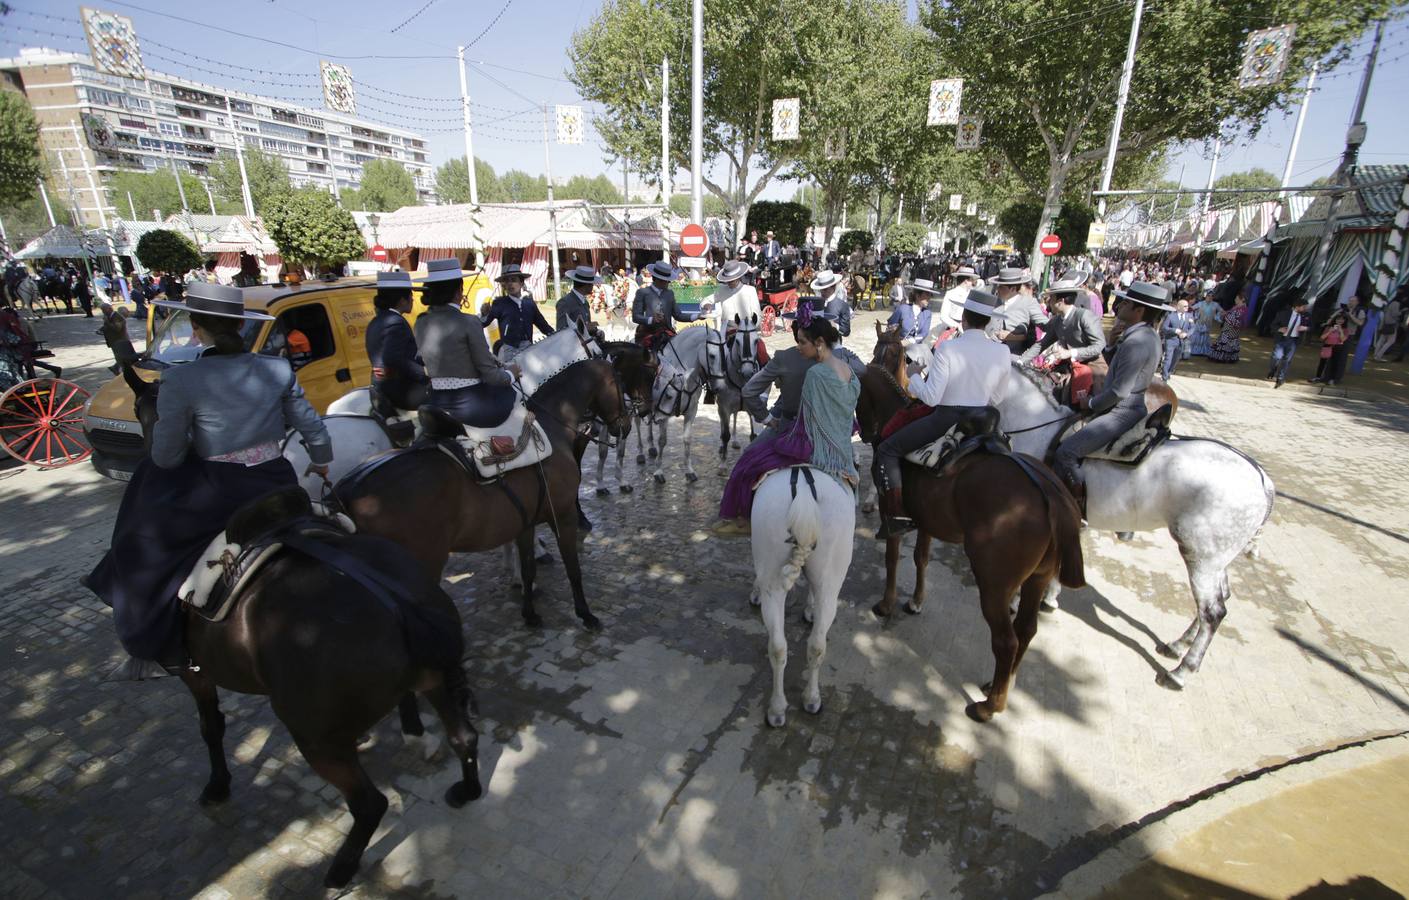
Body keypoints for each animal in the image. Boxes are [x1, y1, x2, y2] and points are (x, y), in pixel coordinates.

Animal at [122, 363, 484, 890]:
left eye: (144, 413)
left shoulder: (193, 670)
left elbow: (211, 725)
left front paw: (217, 785)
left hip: (314, 734)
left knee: (369, 802)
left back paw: (342, 866)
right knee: (453, 732)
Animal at [332, 354, 631, 630]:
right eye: (619, 382)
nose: (626, 426)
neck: (550, 426)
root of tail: (349, 490)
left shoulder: (526, 522)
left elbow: (528, 568)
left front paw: (530, 612)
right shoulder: (564, 515)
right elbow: (573, 568)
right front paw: (585, 614)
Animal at [755, 467, 851, 726]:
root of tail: (805, 492)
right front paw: (810, 609)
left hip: (774, 575)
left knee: (781, 647)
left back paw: (780, 708)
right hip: (830, 580)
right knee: (813, 644)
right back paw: (807, 700)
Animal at [851, 352, 1082, 726]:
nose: (867, 434)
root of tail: (1050, 491)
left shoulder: (892, 512)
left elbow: (892, 558)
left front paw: (886, 604)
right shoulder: (927, 521)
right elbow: (921, 558)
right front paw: (916, 602)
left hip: (994, 585)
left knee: (1006, 640)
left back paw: (990, 706)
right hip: (1037, 577)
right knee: (1026, 629)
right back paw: (999, 685)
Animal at [991, 366, 1279, 690]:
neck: (1037, 429)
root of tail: (1262, 480)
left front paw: (1021, 601)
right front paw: (1050, 597)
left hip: (1201, 558)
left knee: (1212, 612)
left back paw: (1181, 671)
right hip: (1217, 559)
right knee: (1219, 600)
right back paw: (1176, 645)